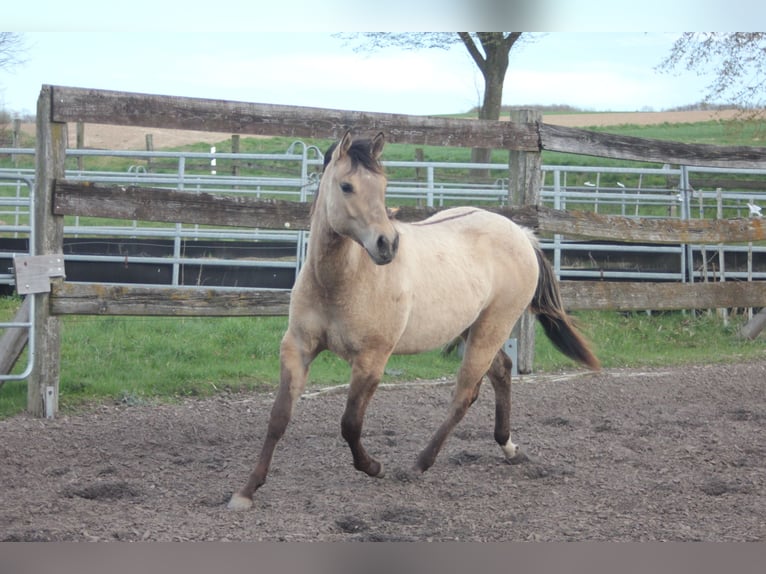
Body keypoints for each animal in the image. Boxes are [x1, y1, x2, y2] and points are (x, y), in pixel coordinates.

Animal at [228, 130, 600, 510]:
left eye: (383, 184)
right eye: (346, 186)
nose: (387, 245)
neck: (341, 281)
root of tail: (521, 233)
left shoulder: (372, 359)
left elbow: (350, 423)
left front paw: (374, 467)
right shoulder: (298, 348)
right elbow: (279, 417)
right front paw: (246, 491)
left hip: (492, 327)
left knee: (465, 394)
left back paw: (419, 463)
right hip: (471, 328)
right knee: (501, 371)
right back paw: (508, 447)